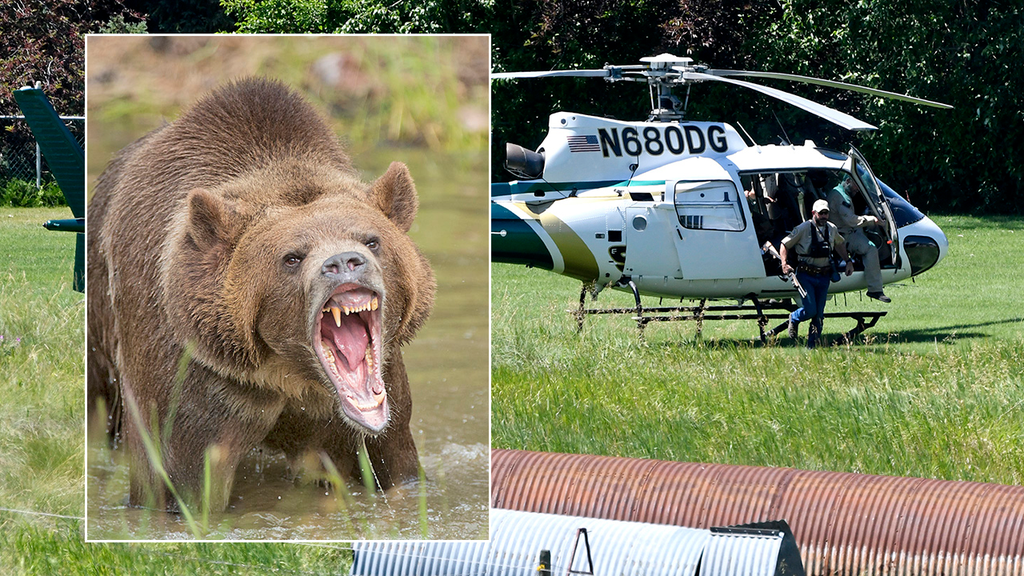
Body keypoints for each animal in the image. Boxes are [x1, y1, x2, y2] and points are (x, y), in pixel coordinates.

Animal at [86, 77, 434, 510]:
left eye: (372, 240)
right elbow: (177, 479)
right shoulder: (199, 379)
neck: (289, 372)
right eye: (292, 257)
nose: (343, 262)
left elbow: (394, 462)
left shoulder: (377, 396)